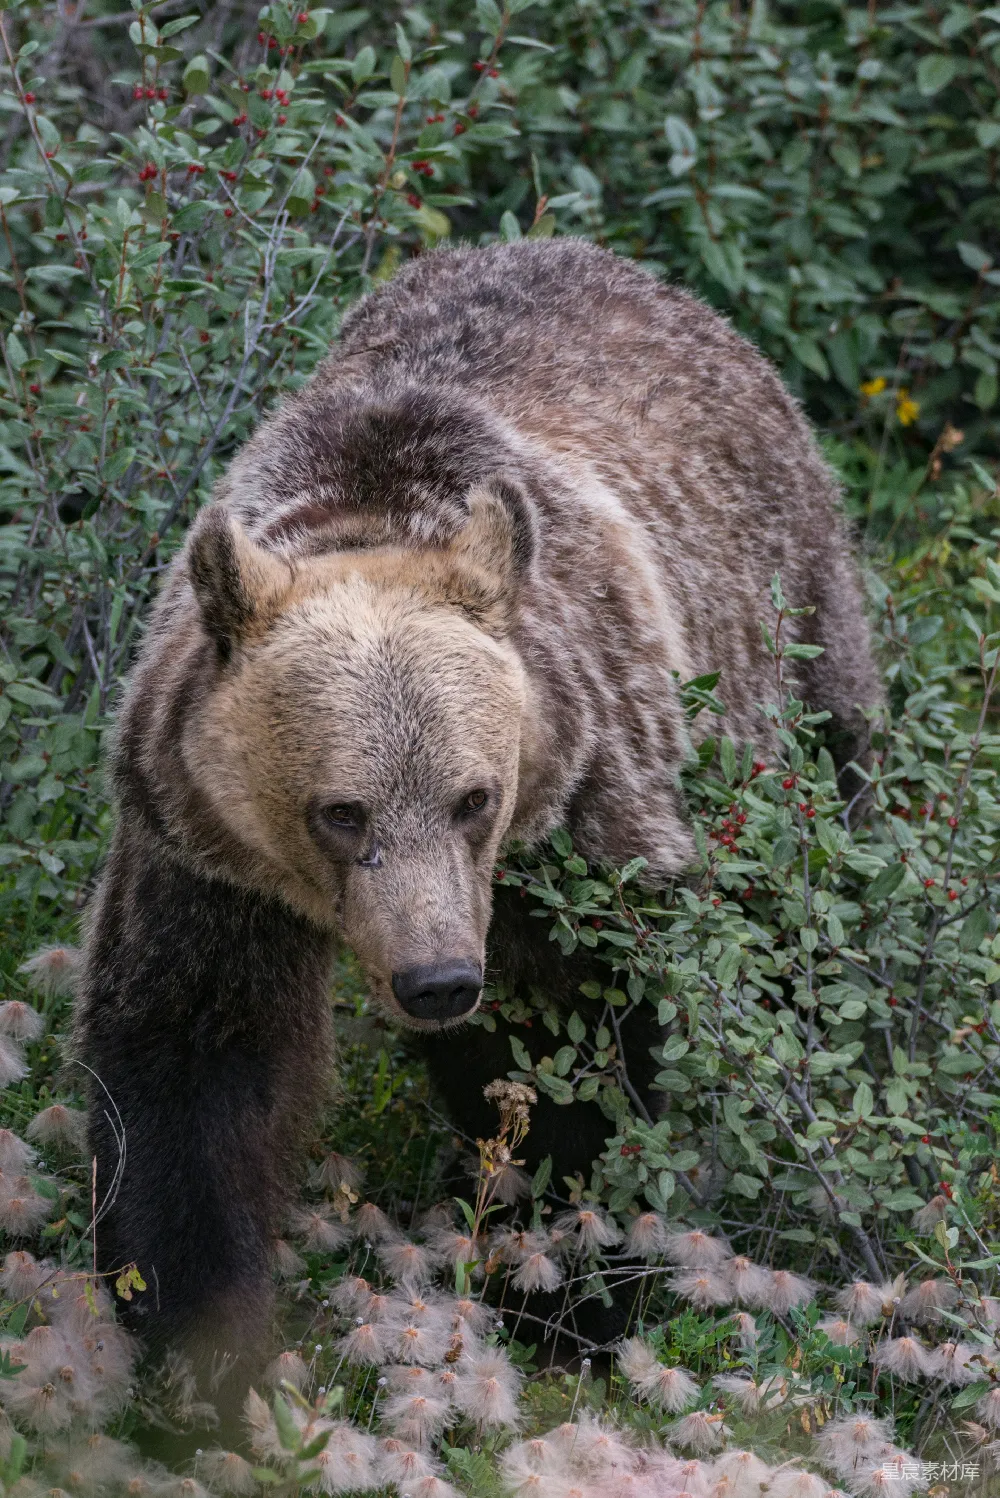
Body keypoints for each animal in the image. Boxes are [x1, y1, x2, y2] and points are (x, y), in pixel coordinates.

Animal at [75, 238, 881, 1410]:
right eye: (341, 811)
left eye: (474, 797)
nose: (438, 981)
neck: (369, 508)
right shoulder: (200, 844)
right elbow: (191, 1058)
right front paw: (201, 1335)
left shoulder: (578, 821)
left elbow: (573, 1053)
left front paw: (575, 1294)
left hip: (788, 651)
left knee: (814, 901)